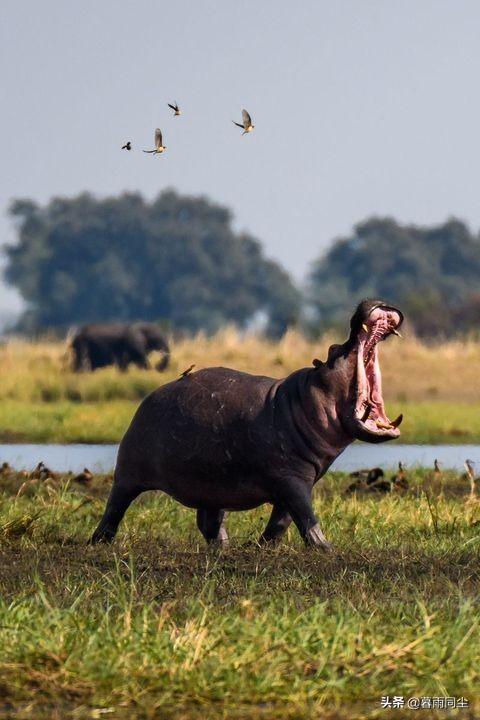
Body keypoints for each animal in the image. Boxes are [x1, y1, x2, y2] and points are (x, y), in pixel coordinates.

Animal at [91, 300, 404, 548]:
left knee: (210, 520)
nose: (366, 302)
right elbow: (306, 516)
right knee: (115, 507)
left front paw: (261, 546)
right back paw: (99, 540)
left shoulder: (299, 478)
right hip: (129, 471)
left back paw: (223, 547)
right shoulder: (291, 479)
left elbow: (283, 520)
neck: (305, 399)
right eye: (334, 349)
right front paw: (325, 548)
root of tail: (149, 397)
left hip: (212, 483)